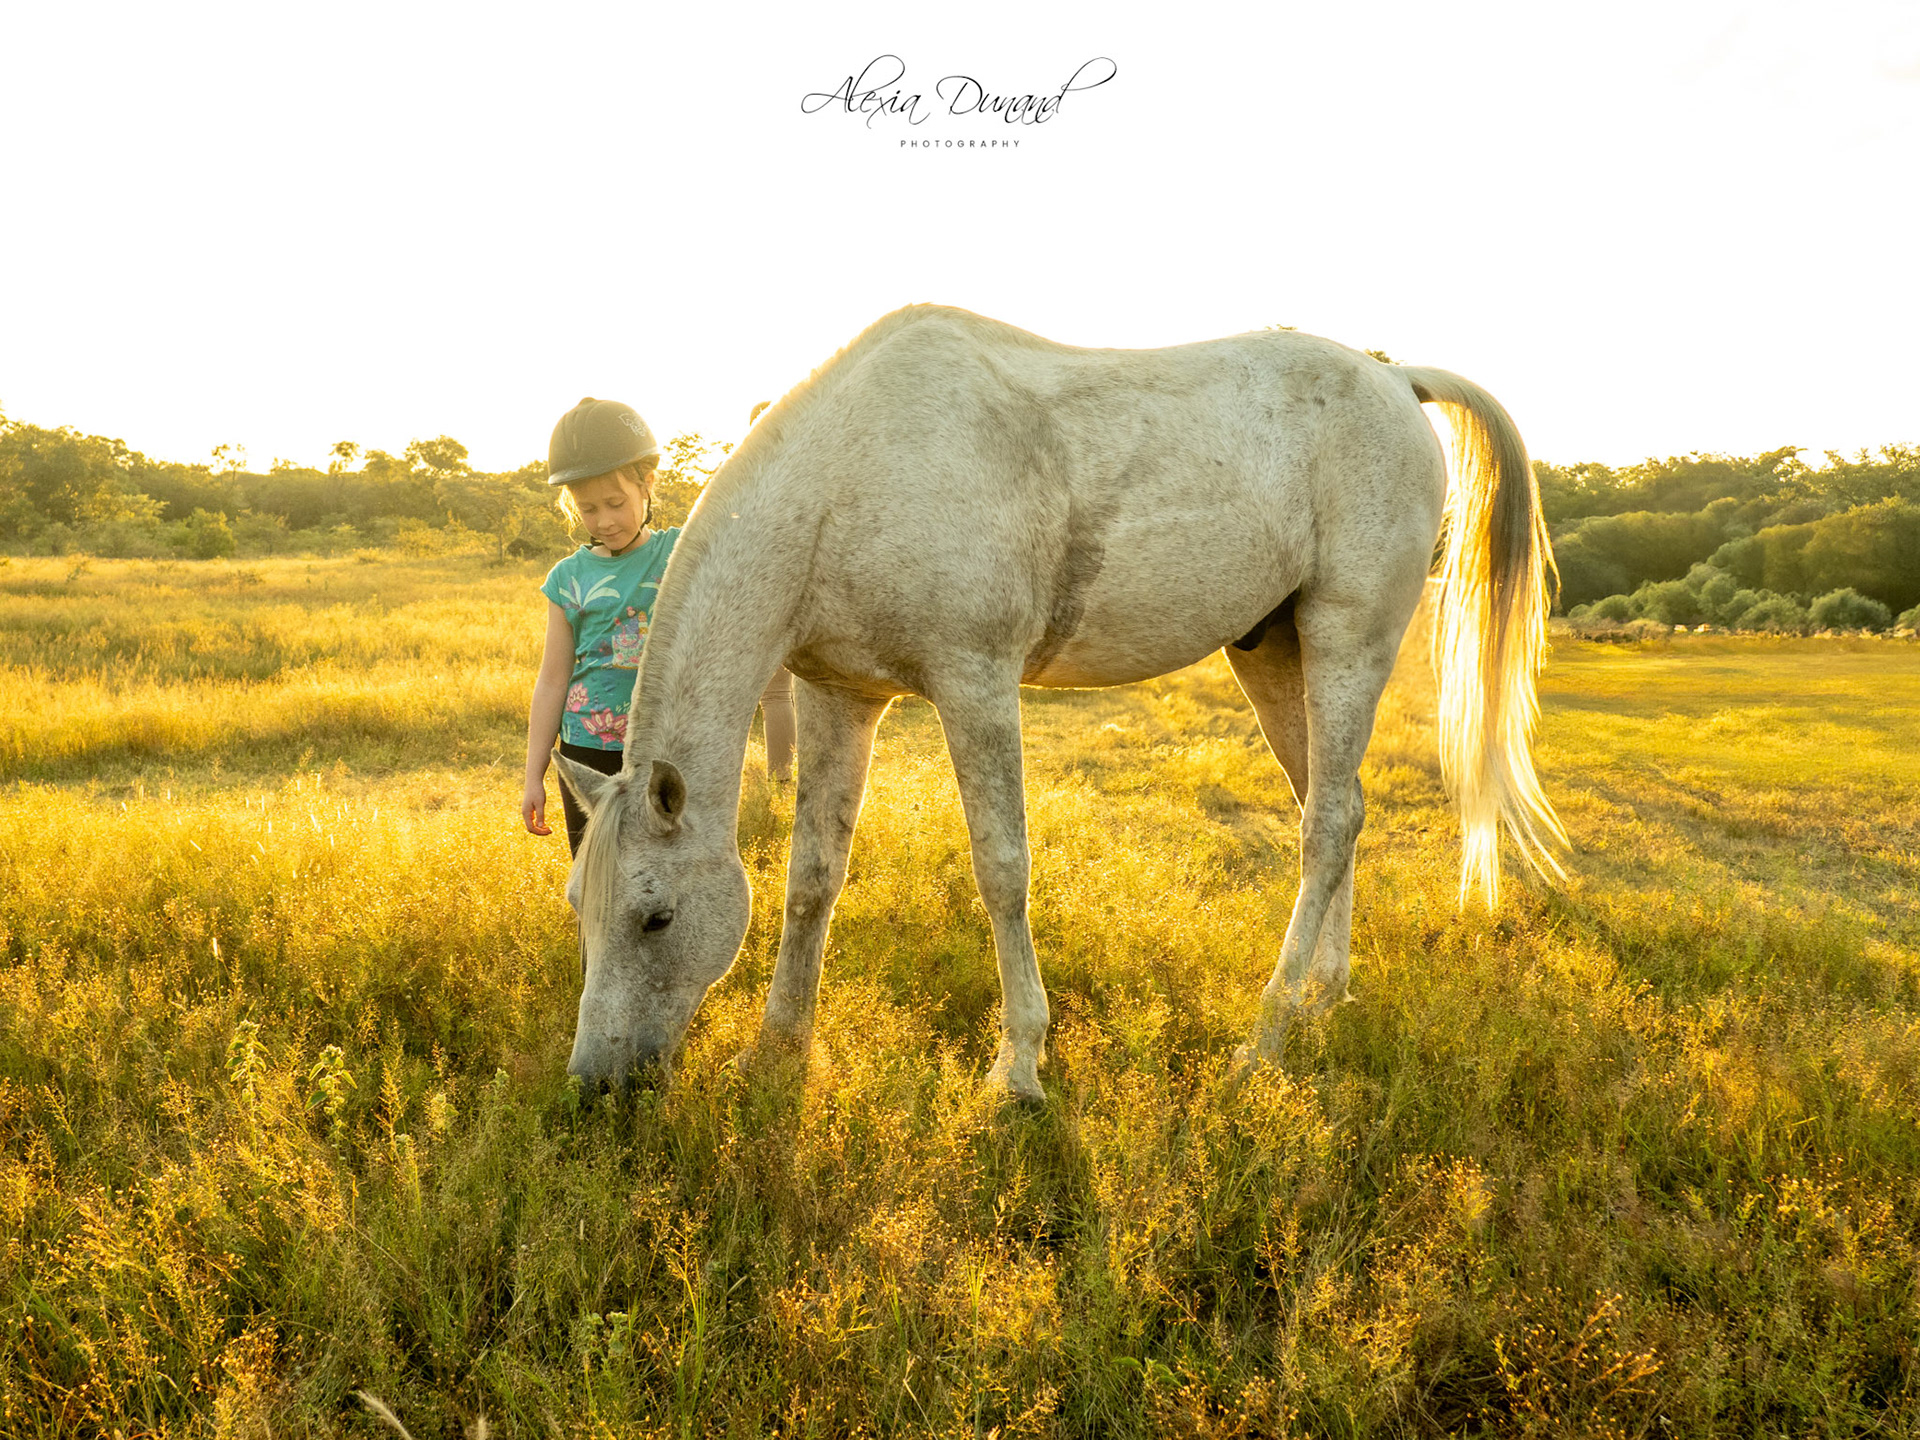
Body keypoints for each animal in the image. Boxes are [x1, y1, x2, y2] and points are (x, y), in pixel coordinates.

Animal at [554, 304, 1565, 1097]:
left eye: (655, 916)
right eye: (579, 909)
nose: (595, 1083)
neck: (848, 478)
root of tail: (1395, 381)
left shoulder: (975, 682)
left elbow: (1002, 869)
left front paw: (1019, 1067)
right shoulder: (841, 697)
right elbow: (813, 878)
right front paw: (777, 1051)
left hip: (1347, 639)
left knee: (1327, 825)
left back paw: (1266, 1036)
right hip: (1278, 655)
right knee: (1334, 806)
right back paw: (1324, 998)